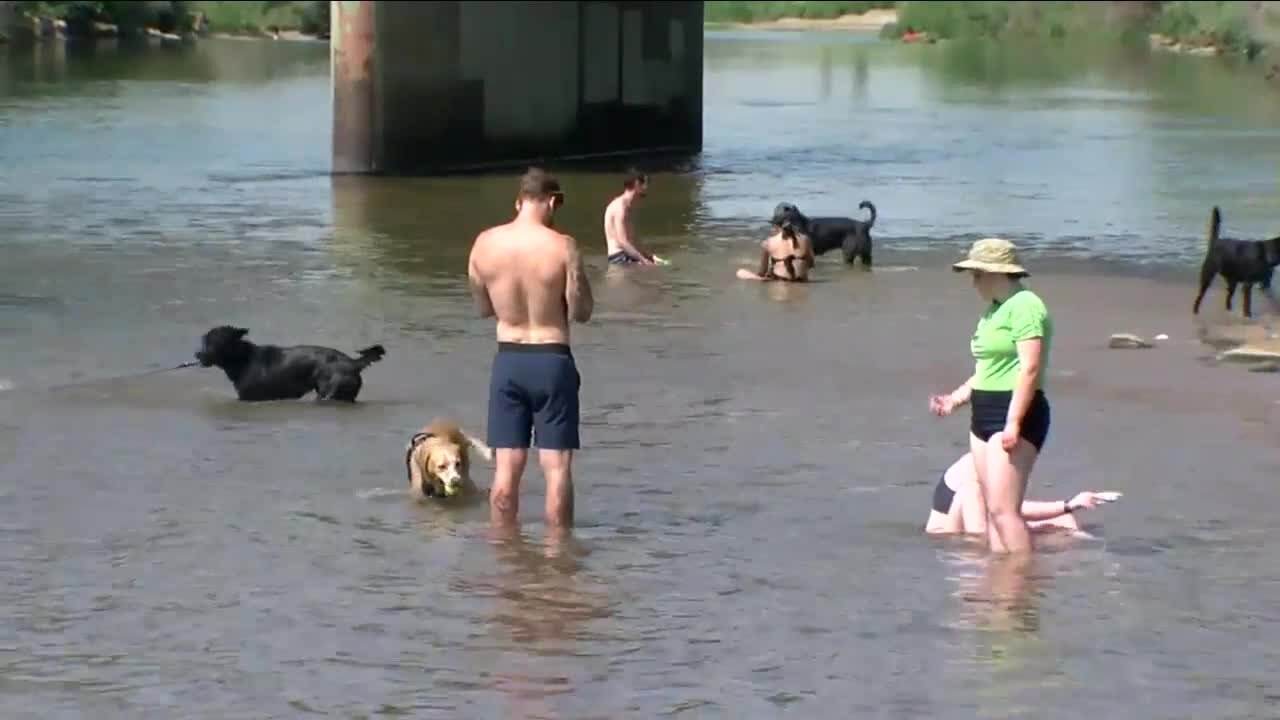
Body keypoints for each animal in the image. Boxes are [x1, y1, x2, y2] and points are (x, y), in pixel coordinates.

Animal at [194, 324, 384, 399]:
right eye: (205, 340)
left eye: (217, 342)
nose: (198, 354)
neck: (243, 359)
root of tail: (353, 363)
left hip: (329, 394)